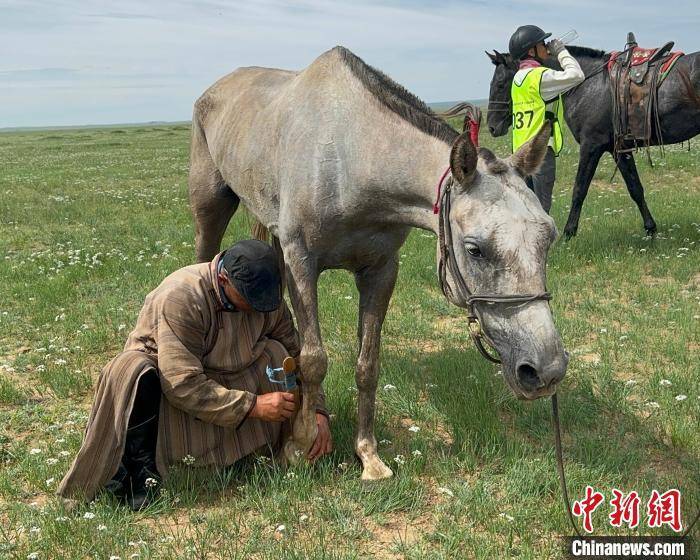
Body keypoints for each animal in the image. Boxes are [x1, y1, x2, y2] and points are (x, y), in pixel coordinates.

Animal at [187, 46, 568, 480]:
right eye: (474, 249)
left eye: (549, 236)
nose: (546, 371)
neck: (348, 157)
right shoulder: (302, 262)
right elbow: (314, 359)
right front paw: (300, 446)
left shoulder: (380, 271)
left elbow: (366, 364)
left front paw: (367, 455)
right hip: (211, 207)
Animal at [486, 44, 700, 235]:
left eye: (500, 84)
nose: (491, 126)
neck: (588, 83)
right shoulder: (618, 149)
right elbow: (635, 188)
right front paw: (650, 229)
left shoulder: (591, 147)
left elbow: (579, 189)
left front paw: (568, 233)